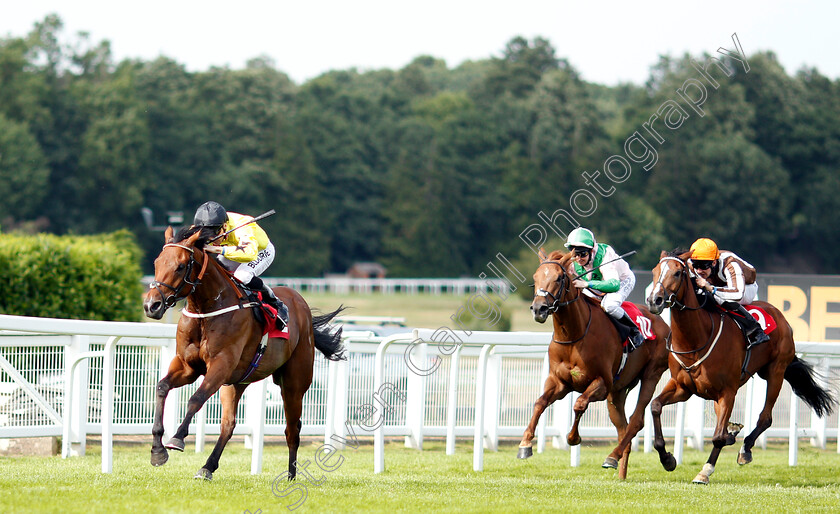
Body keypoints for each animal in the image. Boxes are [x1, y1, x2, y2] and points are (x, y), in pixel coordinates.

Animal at [141, 226, 344, 478]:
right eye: (156, 262)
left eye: (180, 265)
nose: (151, 305)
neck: (207, 309)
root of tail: (300, 303)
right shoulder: (188, 367)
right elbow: (162, 387)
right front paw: (157, 450)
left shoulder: (220, 365)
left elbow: (196, 399)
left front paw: (176, 439)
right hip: (236, 383)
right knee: (228, 425)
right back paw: (207, 467)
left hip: (294, 383)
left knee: (292, 429)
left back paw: (291, 475)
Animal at [516, 250, 668, 478]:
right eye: (535, 277)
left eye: (559, 278)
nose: (538, 308)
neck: (574, 335)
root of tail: (664, 324)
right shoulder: (559, 383)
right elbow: (539, 403)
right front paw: (525, 444)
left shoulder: (601, 383)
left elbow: (579, 404)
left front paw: (573, 438)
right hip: (617, 392)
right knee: (623, 429)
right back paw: (620, 471)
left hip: (651, 374)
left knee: (636, 421)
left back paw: (614, 457)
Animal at [616, 250, 832, 482]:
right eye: (655, 271)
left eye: (677, 273)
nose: (654, 300)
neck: (696, 339)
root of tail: (780, 315)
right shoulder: (683, 387)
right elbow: (655, 406)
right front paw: (667, 459)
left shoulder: (728, 391)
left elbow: (718, 437)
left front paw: (706, 469)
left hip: (775, 372)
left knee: (765, 418)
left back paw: (745, 449)